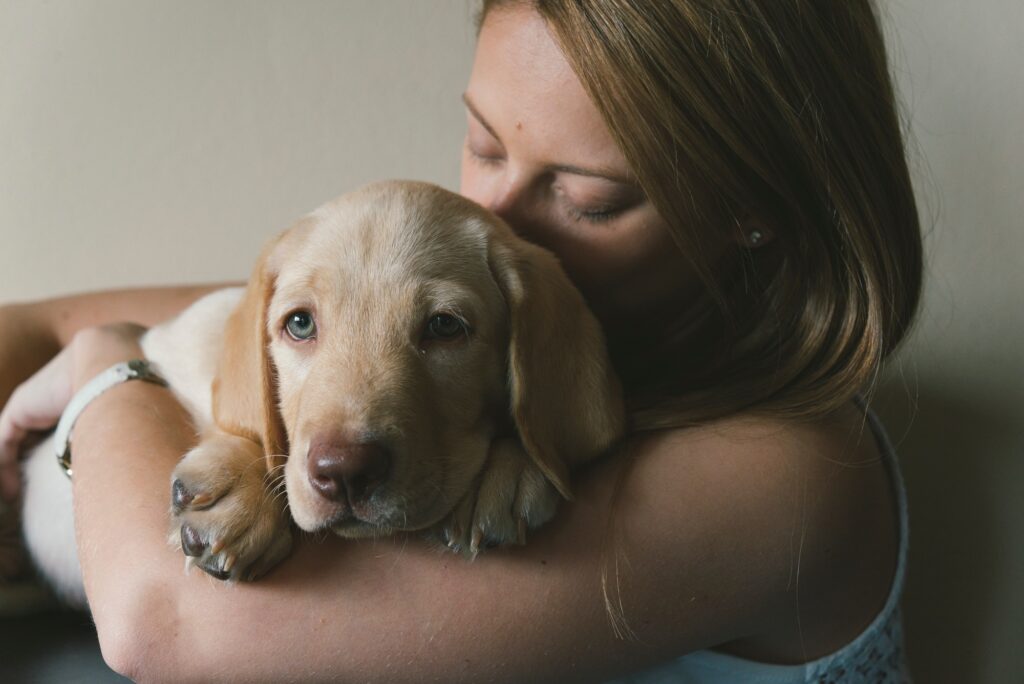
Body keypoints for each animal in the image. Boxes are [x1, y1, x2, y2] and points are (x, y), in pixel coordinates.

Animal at [18, 178, 622, 602]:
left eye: (446, 327)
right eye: (300, 324)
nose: (344, 472)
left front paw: (509, 468)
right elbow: (249, 423)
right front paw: (240, 489)